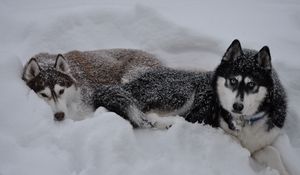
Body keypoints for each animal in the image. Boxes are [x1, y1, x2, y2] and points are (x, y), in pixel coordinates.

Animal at [93, 40, 288, 174]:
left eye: (251, 84)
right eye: (232, 80)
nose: (237, 106)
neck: (245, 121)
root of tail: (129, 84)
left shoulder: (264, 140)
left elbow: (273, 152)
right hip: (183, 92)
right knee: (146, 115)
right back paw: (170, 123)